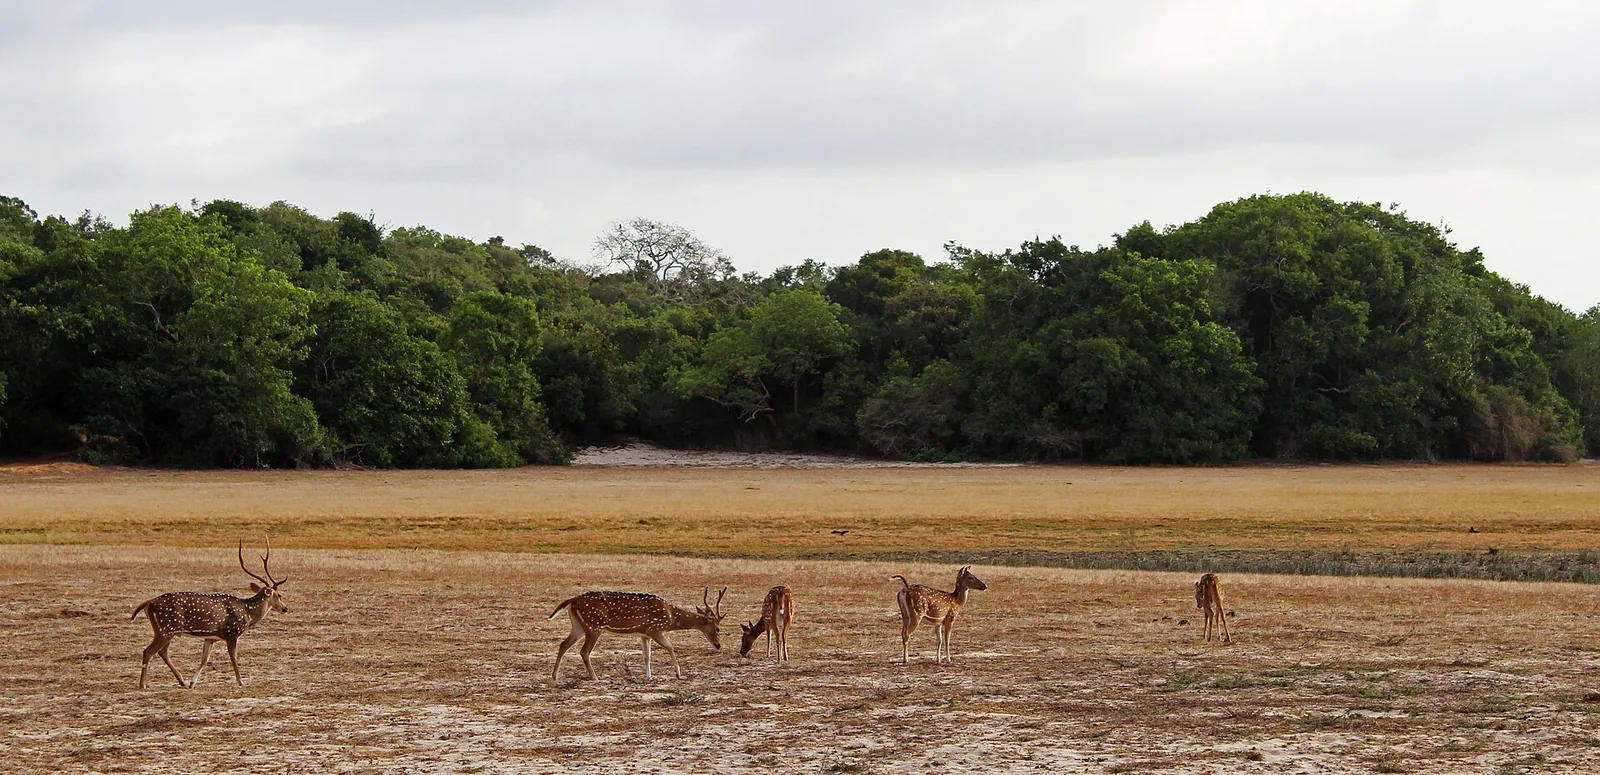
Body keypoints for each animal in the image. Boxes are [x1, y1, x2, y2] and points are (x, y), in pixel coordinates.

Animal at [130, 539, 290, 689]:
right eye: (279, 595)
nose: (285, 608)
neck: (247, 613)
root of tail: (149, 603)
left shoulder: (210, 637)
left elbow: (204, 659)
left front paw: (192, 682)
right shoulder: (232, 633)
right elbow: (234, 658)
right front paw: (241, 682)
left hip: (167, 630)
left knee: (162, 652)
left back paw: (181, 681)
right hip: (165, 628)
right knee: (148, 651)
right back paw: (143, 685)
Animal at [549, 587, 726, 680]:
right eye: (718, 629)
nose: (718, 645)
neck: (671, 618)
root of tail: (572, 601)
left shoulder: (644, 634)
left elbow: (647, 655)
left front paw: (649, 676)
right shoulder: (655, 628)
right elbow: (670, 647)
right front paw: (678, 673)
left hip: (578, 626)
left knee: (563, 644)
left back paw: (555, 675)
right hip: (594, 626)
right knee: (584, 651)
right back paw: (595, 677)